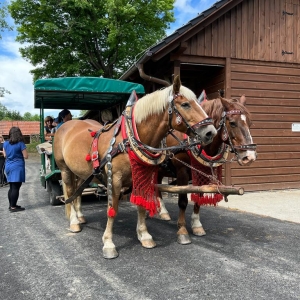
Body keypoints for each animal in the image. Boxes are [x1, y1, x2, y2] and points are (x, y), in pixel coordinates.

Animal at [54, 76, 217, 258]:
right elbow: (113, 209)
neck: (128, 140)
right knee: (69, 191)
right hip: (64, 169)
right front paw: (108, 243)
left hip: (80, 171)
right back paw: (74, 221)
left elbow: (141, 207)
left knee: (78, 191)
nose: (211, 132)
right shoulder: (114, 179)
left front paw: (144, 235)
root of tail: (67, 125)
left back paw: (80, 216)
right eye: (186, 104)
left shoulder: (140, 177)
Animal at [156, 94, 256, 244]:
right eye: (232, 123)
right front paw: (182, 230)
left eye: (250, 123)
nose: (249, 156)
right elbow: (183, 201)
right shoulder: (182, 172)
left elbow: (199, 198)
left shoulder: (202, 174)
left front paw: (197, 225)